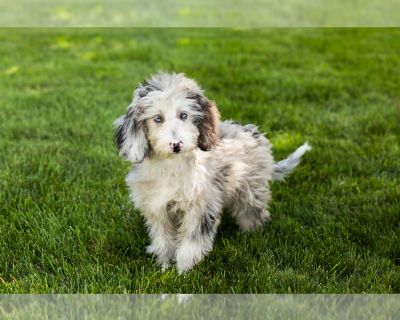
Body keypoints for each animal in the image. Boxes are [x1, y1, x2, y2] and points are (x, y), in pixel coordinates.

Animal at [114, 72, 310, 272]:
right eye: (157, 118)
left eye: (184, 115)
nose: (177, 145)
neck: (171, 166)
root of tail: (255, 135)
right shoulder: (157, 207)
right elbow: (163, 238)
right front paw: (164, 264)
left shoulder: (201, 205)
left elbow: (192, 241)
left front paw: (183, 269)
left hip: (250, 188)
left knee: (253, 212)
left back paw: (252, 233)